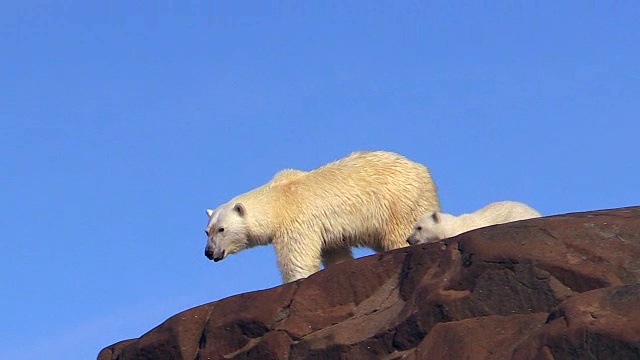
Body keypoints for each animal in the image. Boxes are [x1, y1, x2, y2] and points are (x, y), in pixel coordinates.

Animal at [205, 150, 440, 282]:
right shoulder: (324, 230)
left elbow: (297, 258)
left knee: (398, 233)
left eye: (221, 229)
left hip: (399, 202)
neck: (277, 199)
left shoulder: (297, 221)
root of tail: (422, 169)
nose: (208, 252)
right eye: (206, 231)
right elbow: (334, 252)